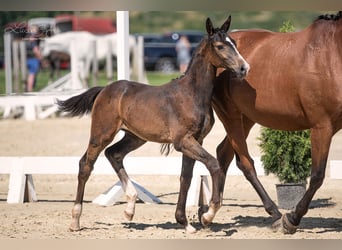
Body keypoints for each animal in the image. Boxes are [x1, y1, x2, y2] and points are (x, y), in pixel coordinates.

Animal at [56, 16, 248, 233]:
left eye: (234, 43)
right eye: (220, 46)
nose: (244, 68)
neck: (192, 94)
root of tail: (104, 89)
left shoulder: (195, 140)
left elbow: (186, 177)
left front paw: (185, 223)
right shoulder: (183, 141)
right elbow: (214, 165)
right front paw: (208, 214)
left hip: (135, 137)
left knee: (114, 154)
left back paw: (130, 207)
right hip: (102, 133)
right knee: (86, 165)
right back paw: (75, 220)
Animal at [211, 11, 342, 234]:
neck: (333, 54)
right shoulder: (321, 126)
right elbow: (317, 175)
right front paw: (292, 219)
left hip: (245, 119)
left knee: (223, 154)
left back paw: (207, 213)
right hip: (230, 116)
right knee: (245, 163)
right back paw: (275, 214)